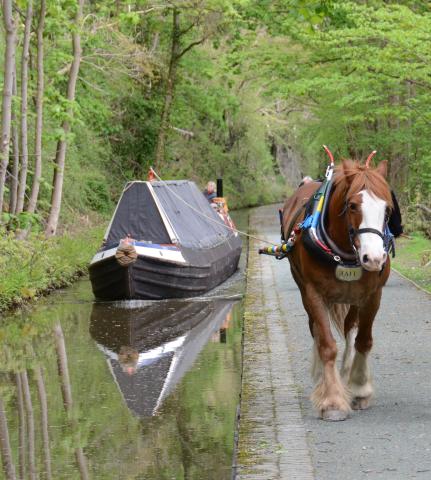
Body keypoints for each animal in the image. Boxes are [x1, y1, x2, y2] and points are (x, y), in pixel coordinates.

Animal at [284, 157, 394, 420]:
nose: (374, 258)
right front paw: (332, 400)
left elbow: (363, 340)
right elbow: (327, 344)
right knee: (316, 328)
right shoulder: (313, 293)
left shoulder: (373, 295)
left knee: (350, 328)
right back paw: (323, 379)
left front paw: (359, 388)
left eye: (387, 209)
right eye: (352, 206)